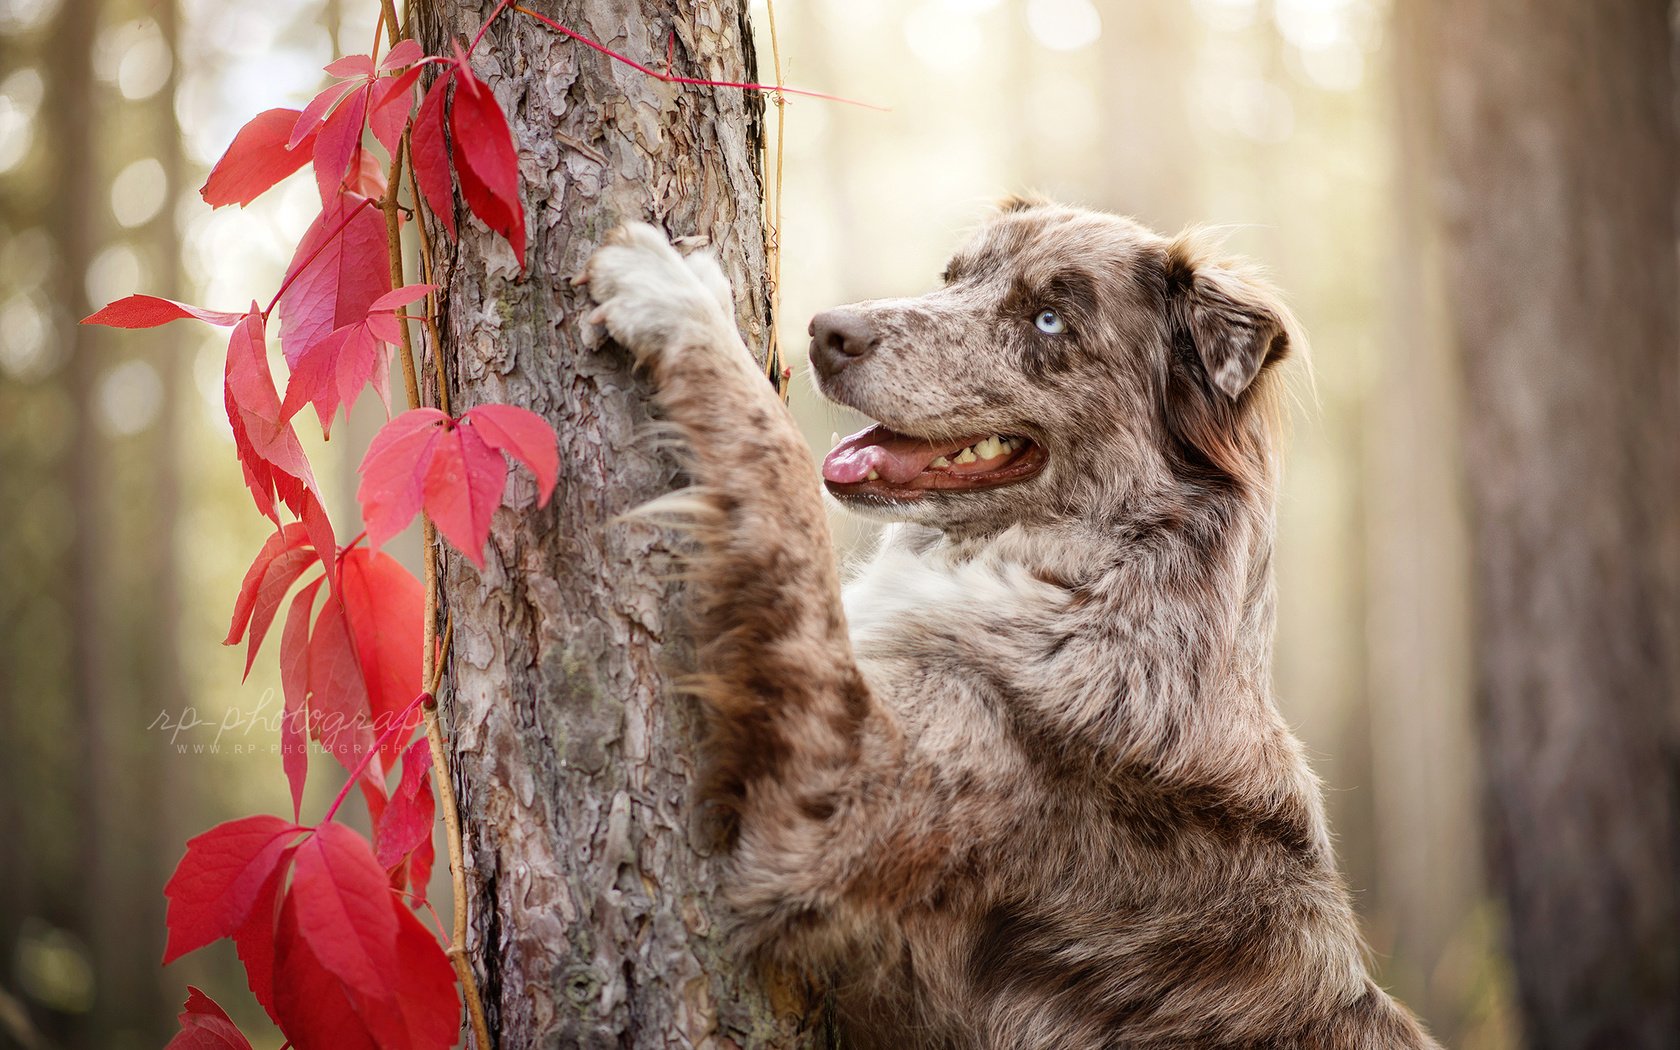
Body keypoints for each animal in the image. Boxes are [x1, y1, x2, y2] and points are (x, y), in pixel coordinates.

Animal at [581, 198, 1444, 1048]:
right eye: (953, 278)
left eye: (1050, 321)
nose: (829, 331)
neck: (1085, 584)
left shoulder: (830, 796)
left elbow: (783, 473)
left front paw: (680, 300)